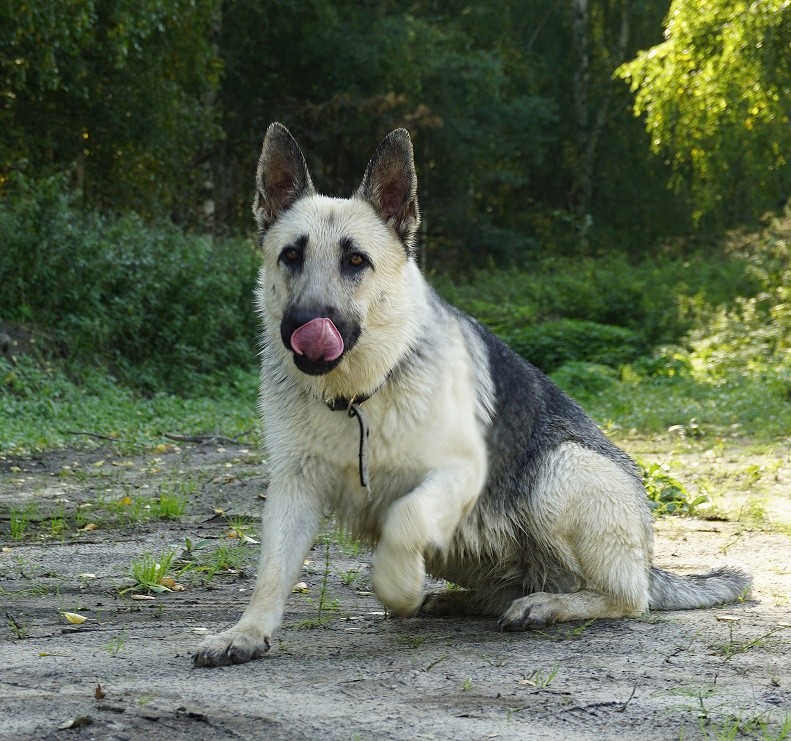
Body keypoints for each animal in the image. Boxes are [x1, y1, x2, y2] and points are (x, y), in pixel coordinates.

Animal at [195, 124, 752, 668]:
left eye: (355, 261)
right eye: (291, 255)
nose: (306, 327)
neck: (358, 397)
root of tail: (647, 562)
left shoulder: (460, 472)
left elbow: (406, 516)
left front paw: (396, 585)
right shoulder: (294, 488)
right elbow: (271, 572)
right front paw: (246, 632)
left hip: (560, 473)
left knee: (622, 597)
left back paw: (544, 605)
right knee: (515, 588)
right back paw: (465, 600)